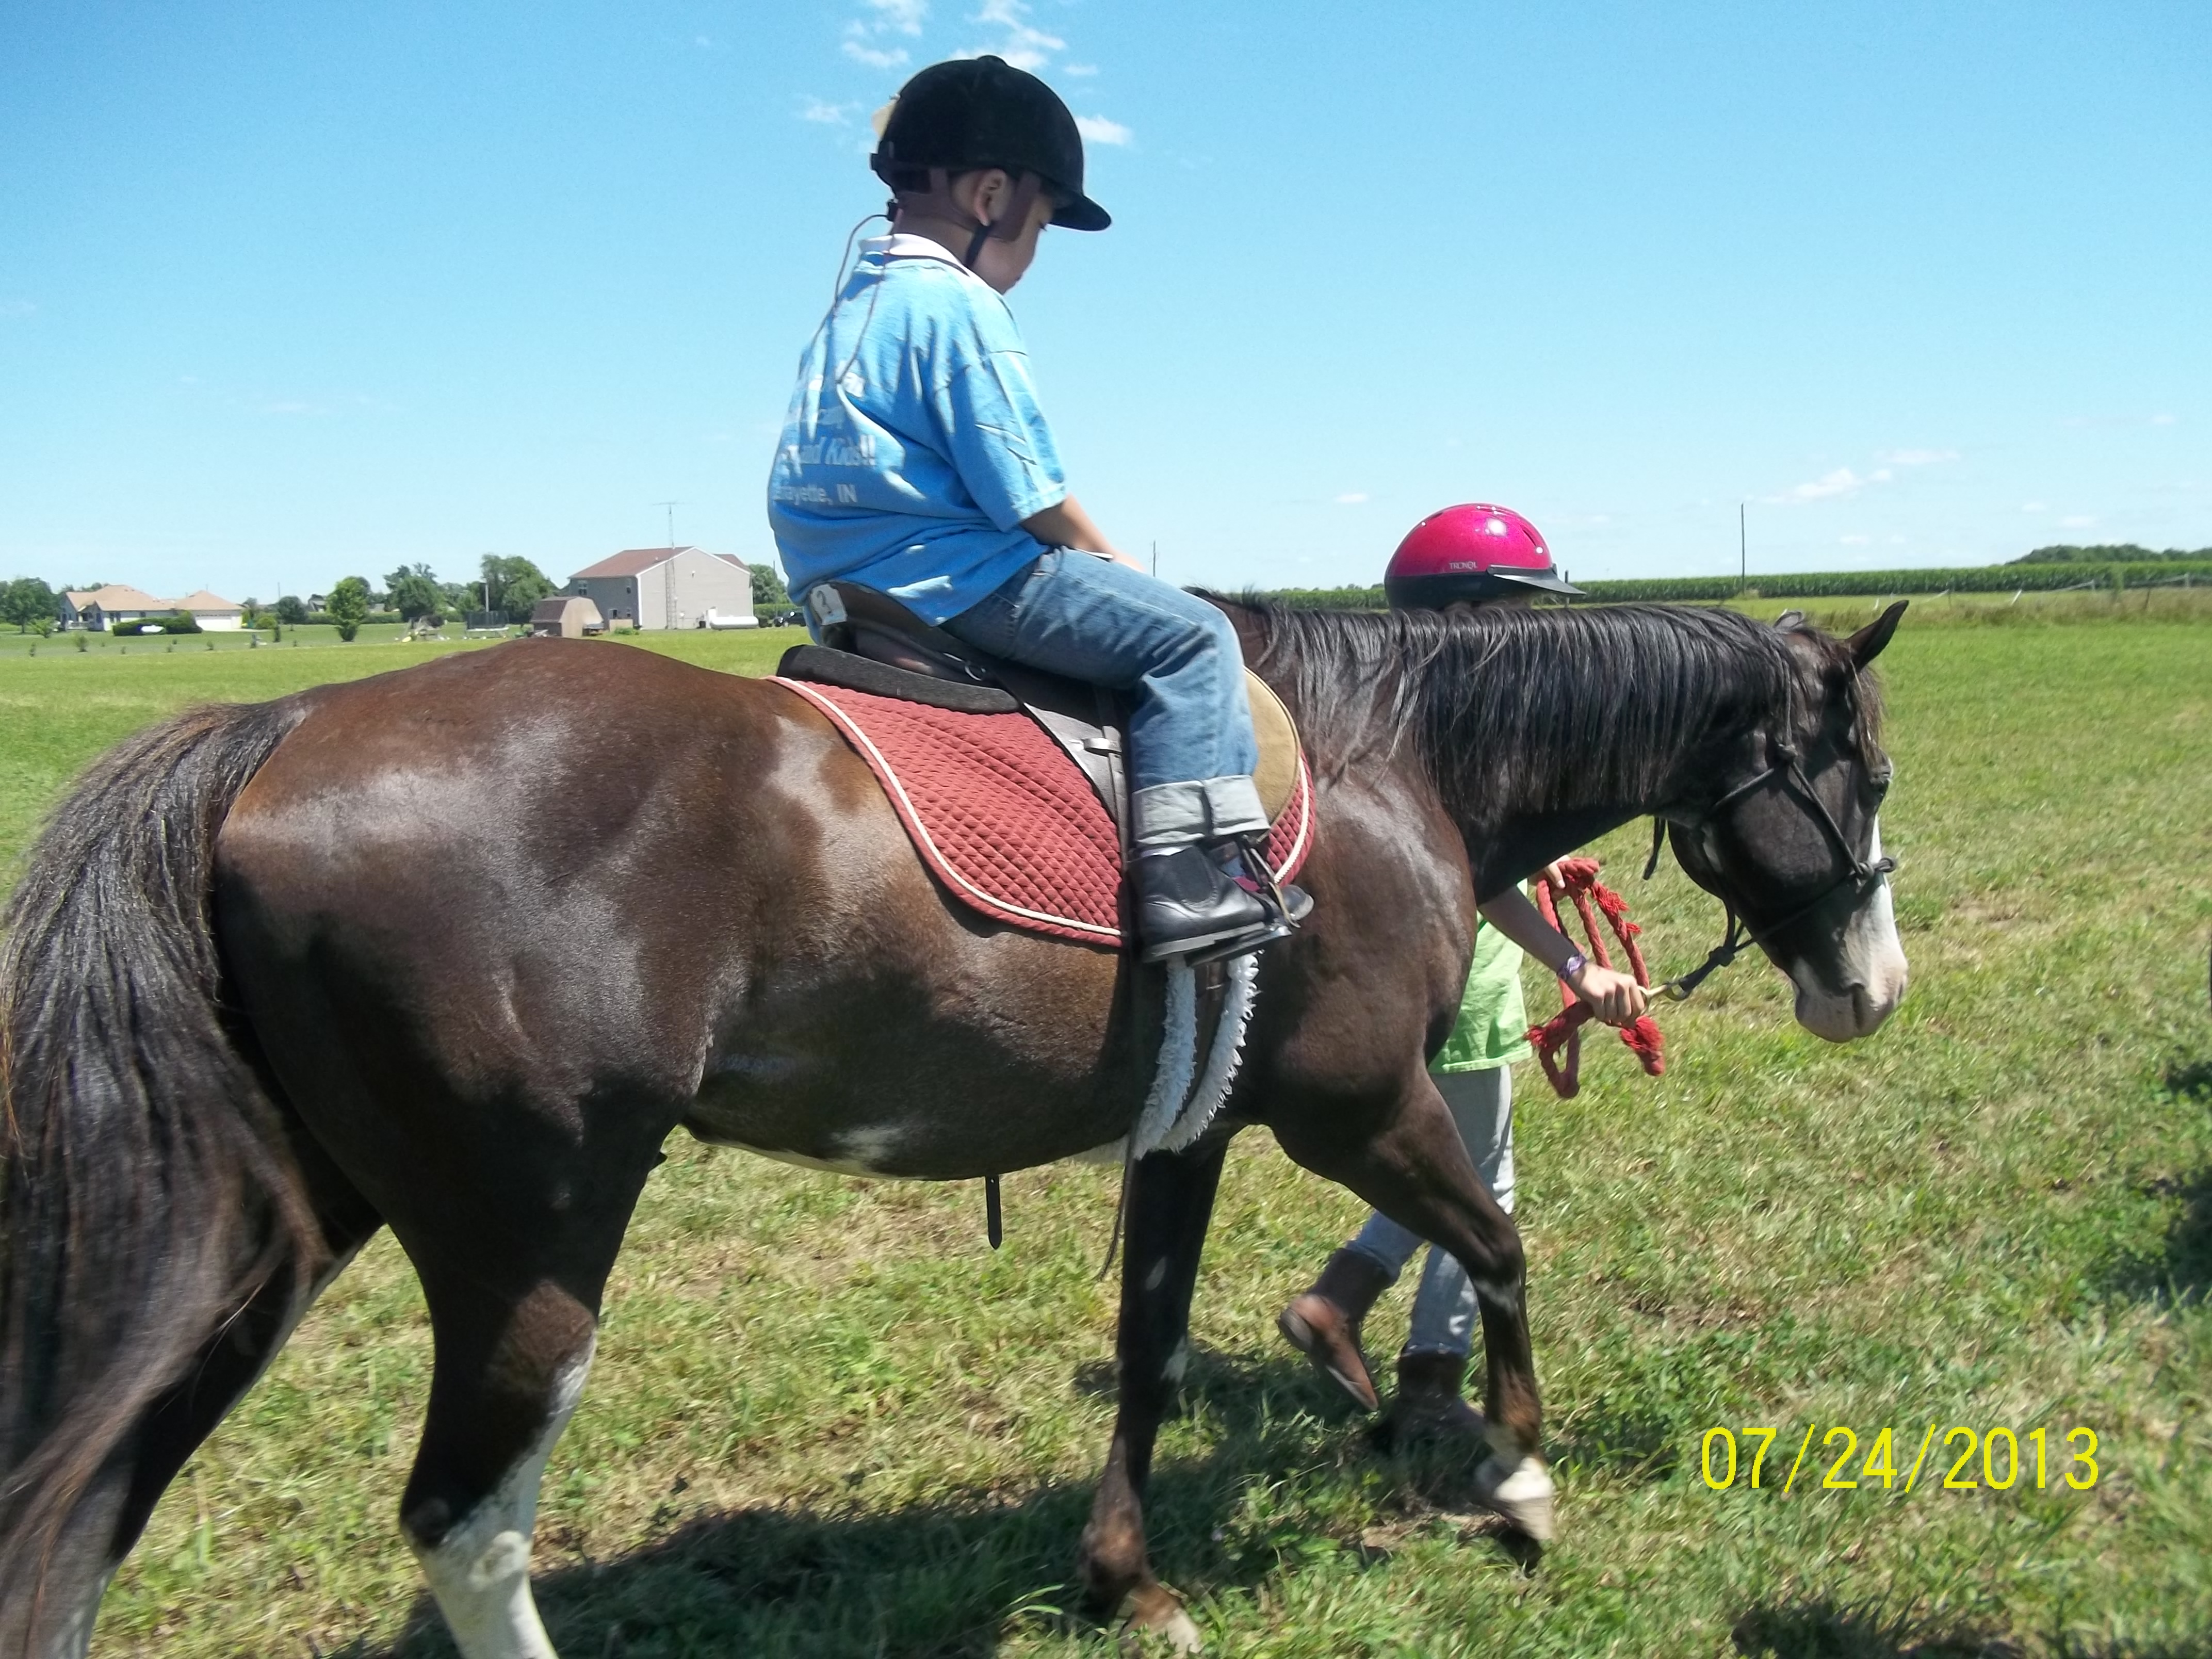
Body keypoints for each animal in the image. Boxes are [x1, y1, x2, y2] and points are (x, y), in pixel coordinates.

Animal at [0, 601, 1902, 1659]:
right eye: (1862, 775)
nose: (1872, 989)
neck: (1381, 759)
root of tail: (281, 726)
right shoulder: (1355, 1104)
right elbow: (1500, 1243)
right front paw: (1515, 1474)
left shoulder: (1191, 1133)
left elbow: (1149, 1351)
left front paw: (1127, 1581)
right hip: (524, 1239)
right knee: (466, 1524)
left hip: (270, 1240)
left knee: (83, 1515)